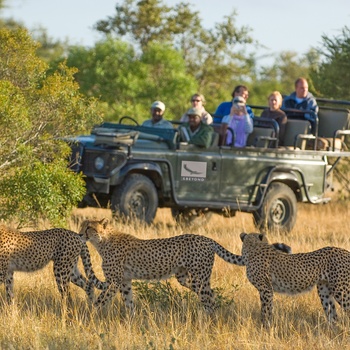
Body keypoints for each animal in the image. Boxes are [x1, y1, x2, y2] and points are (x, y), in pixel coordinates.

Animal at [80, 217, 292, 314]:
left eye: (89, 227)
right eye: (82, 226)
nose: (80, 234)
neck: (103, 240)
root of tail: (206, 238)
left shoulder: (114, 281)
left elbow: (100, 300)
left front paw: (90, 315)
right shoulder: (124, 281)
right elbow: (129, 301)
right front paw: (131, 320)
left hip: (200, 276)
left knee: (209, 296)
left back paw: (209, 320)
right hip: (184, 277)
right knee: (209, 294)